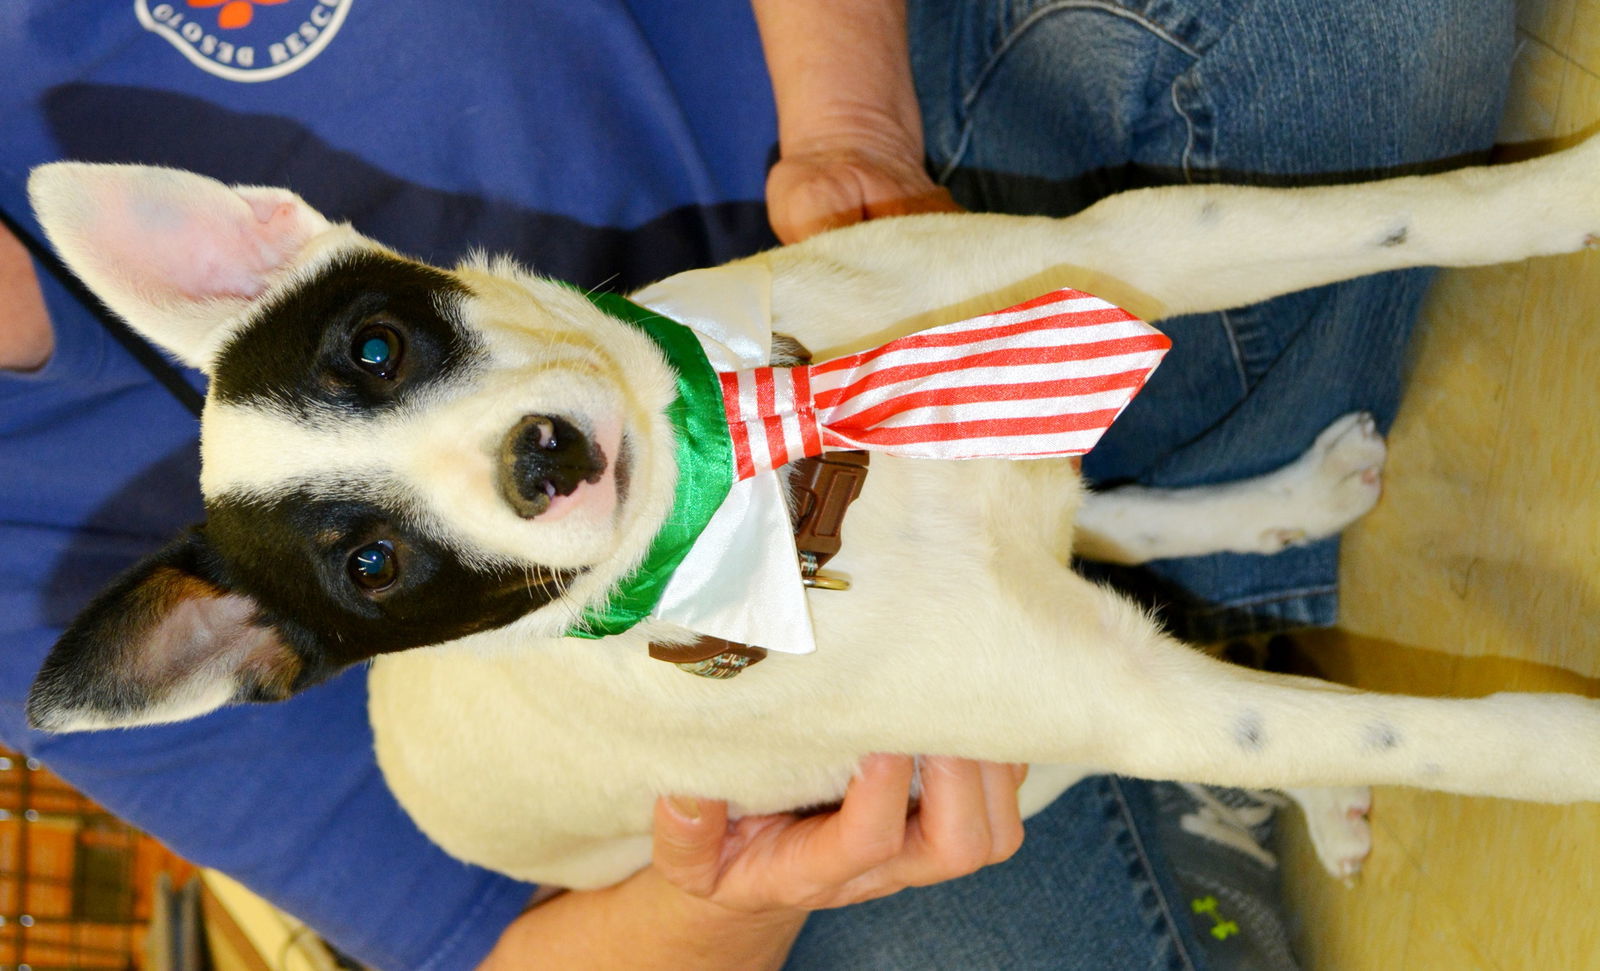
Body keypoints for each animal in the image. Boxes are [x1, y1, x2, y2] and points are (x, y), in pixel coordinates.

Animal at [21, 136, 1600, 889]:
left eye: (372, 345)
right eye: (370, 561)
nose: (542, 458)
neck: (781, 471)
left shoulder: (1106, 253)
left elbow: (1401, 212)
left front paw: (1570, 185)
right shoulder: (1137, 705)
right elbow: (1428, 731)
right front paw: (1565, 751)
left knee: (1108, 519)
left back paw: (1295, 501)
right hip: (995, 751)